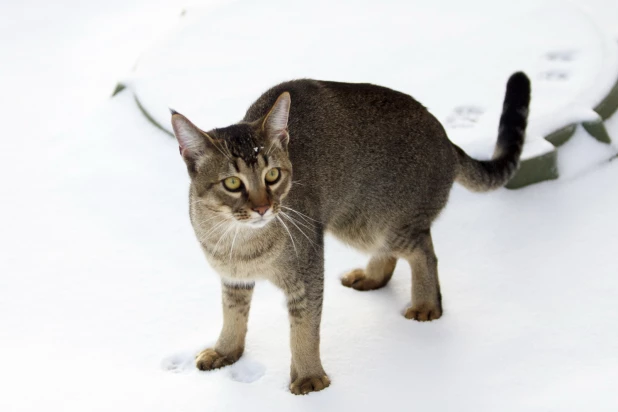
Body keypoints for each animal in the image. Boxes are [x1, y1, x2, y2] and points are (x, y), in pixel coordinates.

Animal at [170, 71, 528, 396]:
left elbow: (305, 329)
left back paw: (426, 304)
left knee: (424, 250)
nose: (263, 207)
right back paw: (371, 278)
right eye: (232, 183)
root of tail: (447, 139)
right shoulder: (233, 277)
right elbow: (232, 315)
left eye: (273, 175)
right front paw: (226, 352)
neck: (240, 242)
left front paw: (309, 378)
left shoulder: (308, 270)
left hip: (373, 224)